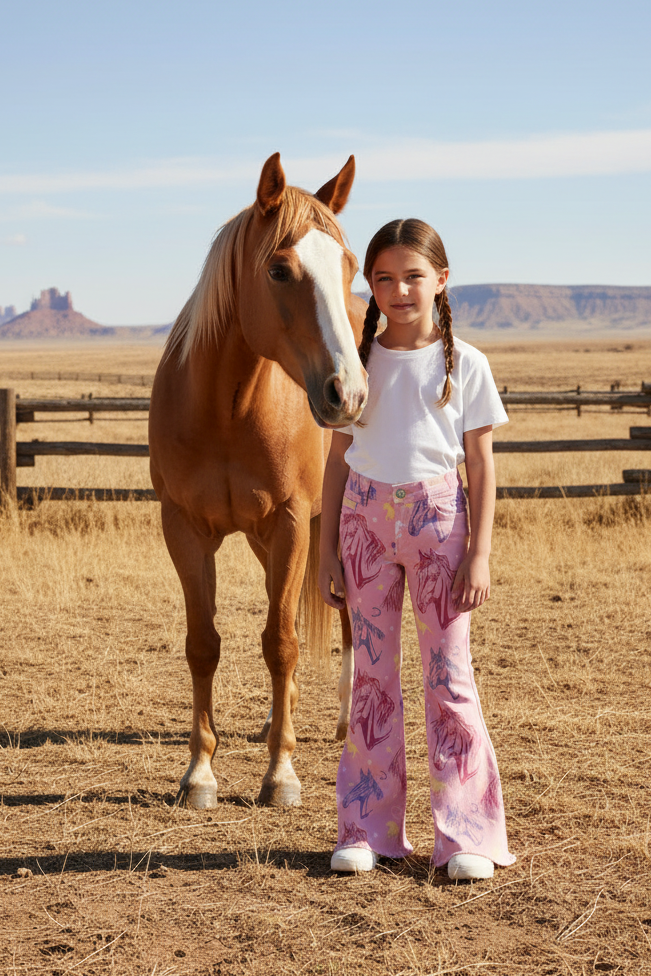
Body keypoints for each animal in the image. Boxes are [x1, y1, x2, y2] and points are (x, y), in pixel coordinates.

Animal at [149, 153, 368, 809]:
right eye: (278, 269)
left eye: (350, 265)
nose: (348, 392)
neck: (227, 408)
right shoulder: (185, 528)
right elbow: (204, 643)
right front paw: (199, 772)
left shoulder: (293, 521)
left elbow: (282, 644)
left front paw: (281, 773)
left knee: (346, 618)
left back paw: (344, 719)